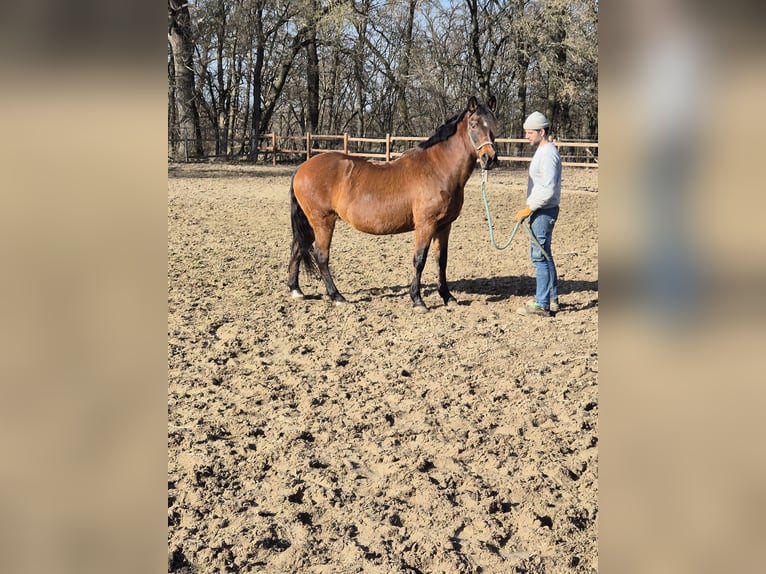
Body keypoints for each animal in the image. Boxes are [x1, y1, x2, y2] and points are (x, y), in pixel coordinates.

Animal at [287, 95, 498, 312]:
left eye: (494, 124)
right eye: (473, 124)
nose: (489, 158)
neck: (437, 169)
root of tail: (302, 167)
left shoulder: (444, 226)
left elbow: (441, 261)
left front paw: (448, 297)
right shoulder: (426, 225)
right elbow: (419, 260)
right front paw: (417, 300)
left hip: (311, 223)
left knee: (298, 247)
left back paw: (296, 290)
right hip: (323, 221)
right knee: (321, 256)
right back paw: (337, 296)